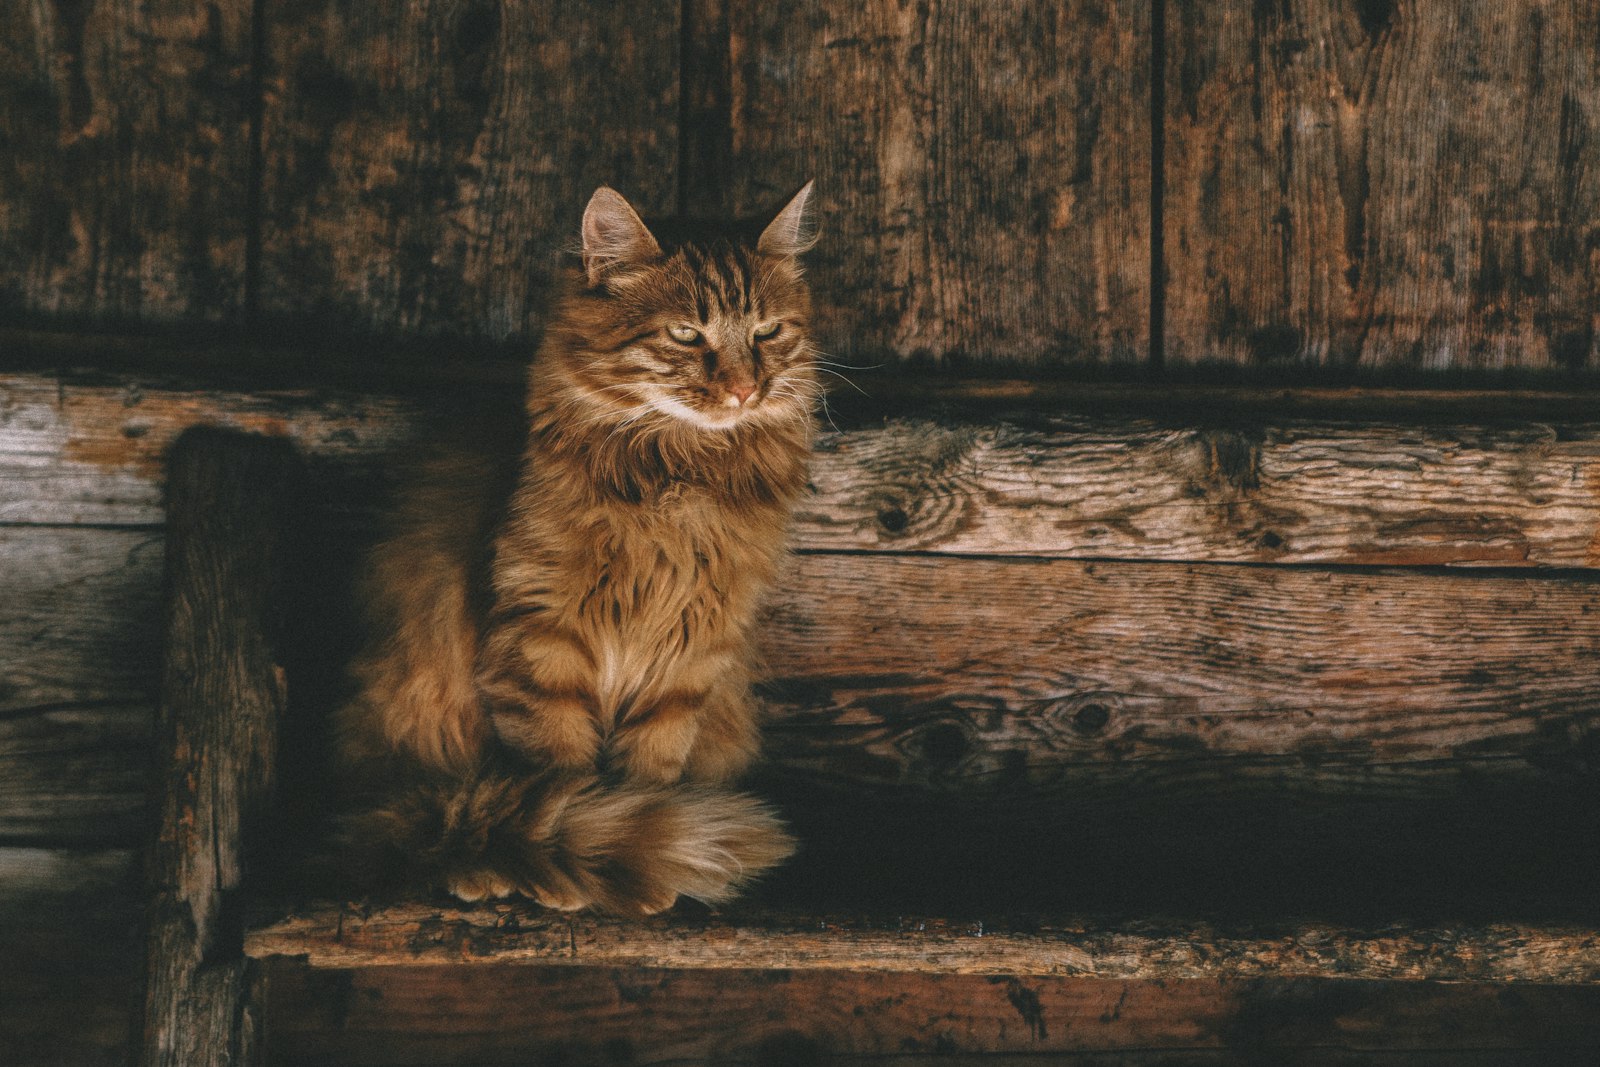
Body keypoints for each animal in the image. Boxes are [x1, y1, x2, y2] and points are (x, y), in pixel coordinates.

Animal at [329, 183, 819, 921]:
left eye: (767, 333)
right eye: (685, 335)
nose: (742, 389)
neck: (681, 475)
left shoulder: (689, 655)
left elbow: (649, 773)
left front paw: (641, 856)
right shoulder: (541, 640)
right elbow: (561, 778)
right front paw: (586, 855)